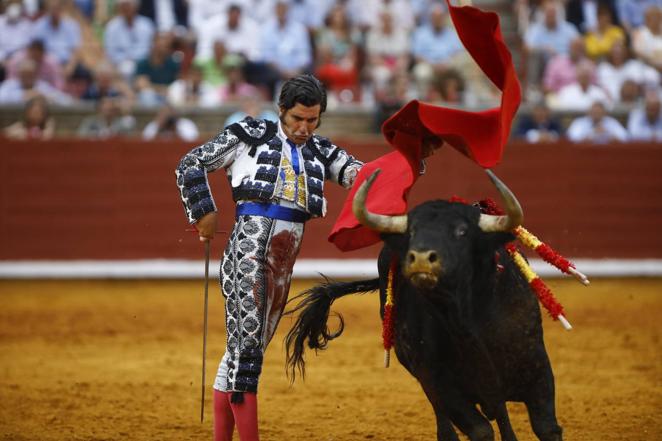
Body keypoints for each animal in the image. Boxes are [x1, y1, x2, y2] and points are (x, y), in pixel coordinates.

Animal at [286, 169, 564, 440]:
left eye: (462, 232)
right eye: (412, 232)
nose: (420, 258)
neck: (465, 320)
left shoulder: (538, 369)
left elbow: (546, 428)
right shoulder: (439, 383)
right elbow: (480, 430)